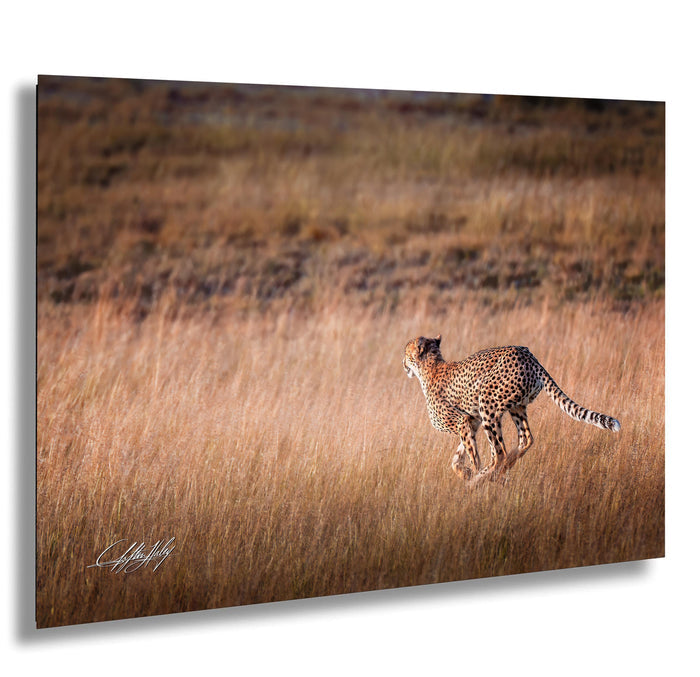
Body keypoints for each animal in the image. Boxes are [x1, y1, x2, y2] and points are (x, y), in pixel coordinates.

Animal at [403, 334, 620, 485]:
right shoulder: (472, 421)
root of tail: (528, 355)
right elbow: (458, 456)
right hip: (516, 406)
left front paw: (473, 475)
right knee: (525, 439)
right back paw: (503, 470)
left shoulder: (463, 421)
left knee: (499, 453)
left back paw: (483, 478)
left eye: (406, 353)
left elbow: (472, 455)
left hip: (487, 402)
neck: (430, 367)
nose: (403, 364)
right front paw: (465, 472)